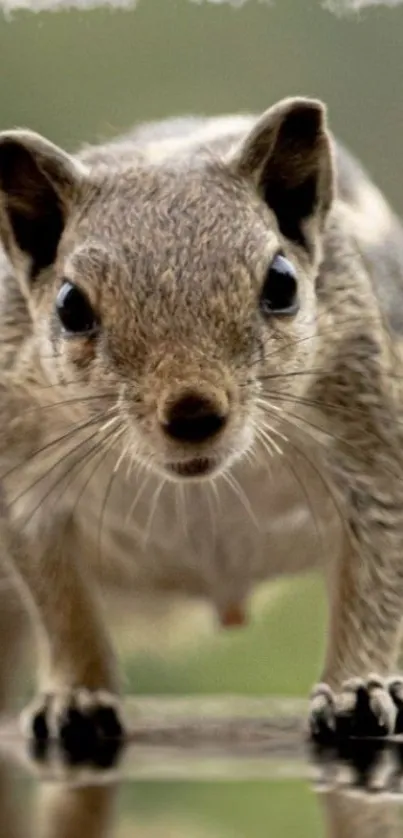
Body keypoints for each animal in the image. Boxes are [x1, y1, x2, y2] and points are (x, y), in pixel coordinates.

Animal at [0, 98, 403, 748]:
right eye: (70, 305)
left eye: (283, 282)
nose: (192, 412)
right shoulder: (27, 484)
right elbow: (61, 606)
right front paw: (77, 697)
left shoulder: (369, 442)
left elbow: (375, 582)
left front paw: (357, 689)